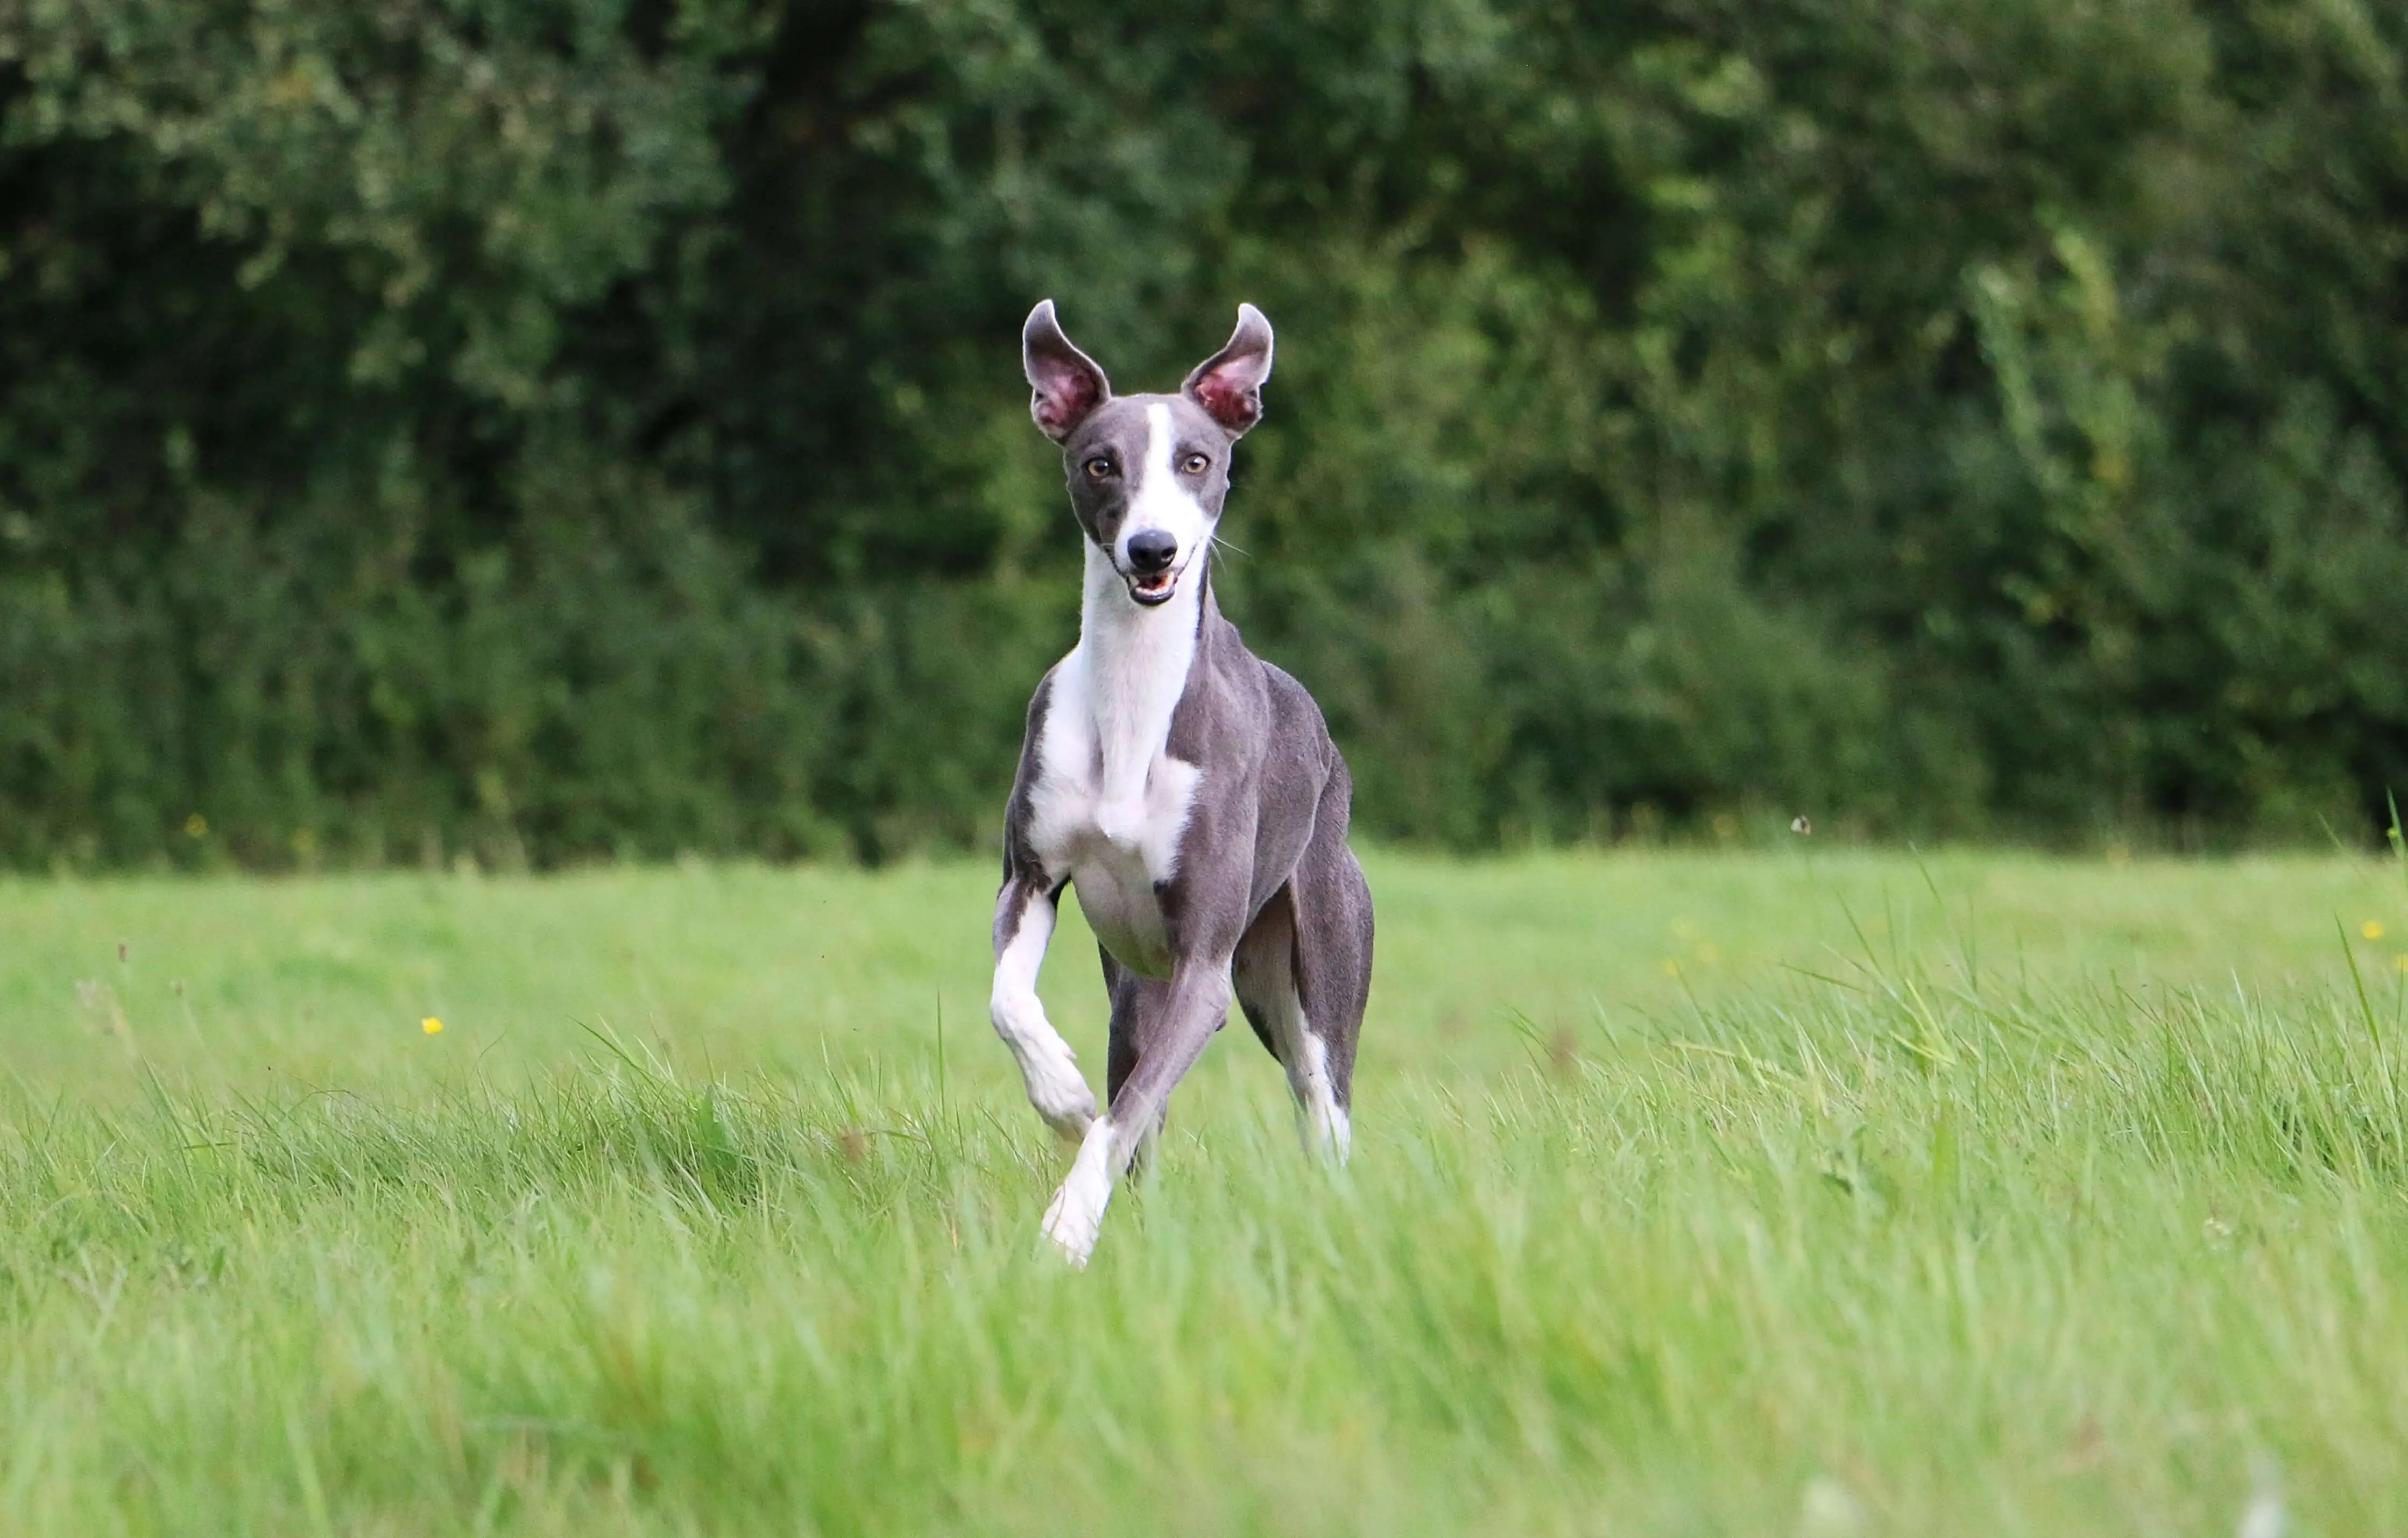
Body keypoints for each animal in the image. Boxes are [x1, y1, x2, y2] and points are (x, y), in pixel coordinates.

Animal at [987, 298, 1377, 1261]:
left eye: (1196, 460)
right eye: (1100, 461)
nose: (1151, 549)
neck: (1132, 696)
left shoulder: (1204, 968)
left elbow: (1123, 1116)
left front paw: (1066, 1224)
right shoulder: (1029, 879)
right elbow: (1013, 1004)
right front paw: (1061, 1095)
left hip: (1306, 977)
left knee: (1322, 1107)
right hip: (1135, 991)